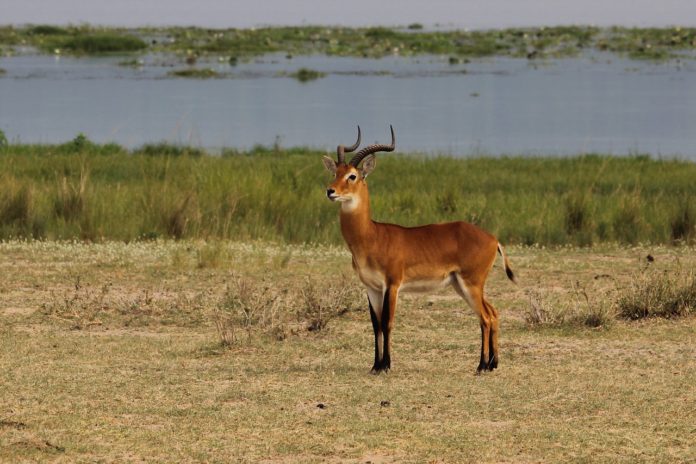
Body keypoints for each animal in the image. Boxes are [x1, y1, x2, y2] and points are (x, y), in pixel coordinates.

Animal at [324, 126, 512, 374]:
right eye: (335, 173)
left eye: (352, 176)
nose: (330, 191)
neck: (371, 236)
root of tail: (493, 239)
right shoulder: (371, 288)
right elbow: (376, 325)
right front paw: (375, 365)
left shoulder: (392, 285)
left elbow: (388, 322)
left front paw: (386, 365)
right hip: (462, 285)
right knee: (493, 313)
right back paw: (493, 364)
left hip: (471, 285)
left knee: (485, 318)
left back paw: (481, 366)